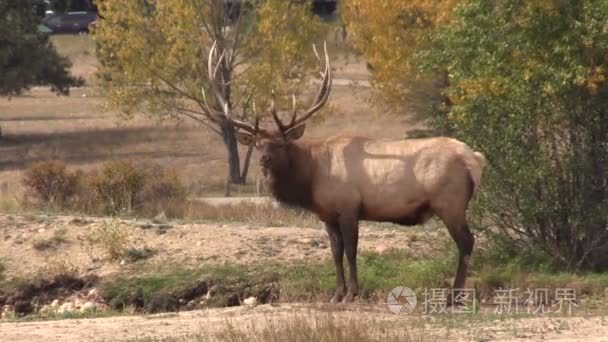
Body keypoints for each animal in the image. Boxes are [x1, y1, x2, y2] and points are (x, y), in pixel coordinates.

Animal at [207, 42, 486, 302]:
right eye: (258, 144)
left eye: (281, 143)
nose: (265, 159)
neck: (311, 179)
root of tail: (474, 158)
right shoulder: (327, 215)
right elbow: (335, 252)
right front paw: (337, 293)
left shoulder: (349, 207)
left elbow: (351, 251)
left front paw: (353, 292)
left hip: (450, 202)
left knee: (466, 241)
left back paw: (454, 296)